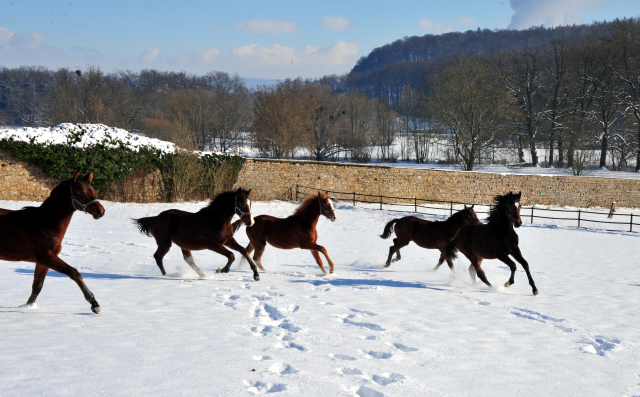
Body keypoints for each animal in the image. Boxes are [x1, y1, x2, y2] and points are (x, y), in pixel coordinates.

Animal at [0, 172, 105, 314]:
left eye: (93, 190)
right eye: (81, 191)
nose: (101, 211)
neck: (44, 223)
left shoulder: (42, 262)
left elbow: (37, 286)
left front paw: (28, 307)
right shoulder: (46, 257)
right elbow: (74, 273)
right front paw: (94, 303)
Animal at [131, 187, 262, 280]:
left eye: (250, 203)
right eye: (241, 203)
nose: (250, 222)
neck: (217, 220)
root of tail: (156, 218)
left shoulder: (228, 240)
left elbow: (243, 251)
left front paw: (256, 274)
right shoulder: (212, 245)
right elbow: (231, 255)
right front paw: (221, 270)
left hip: (183, 244)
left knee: (188, 259)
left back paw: (203, 275)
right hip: (165, 243)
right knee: (158, 256)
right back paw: (166, 275)